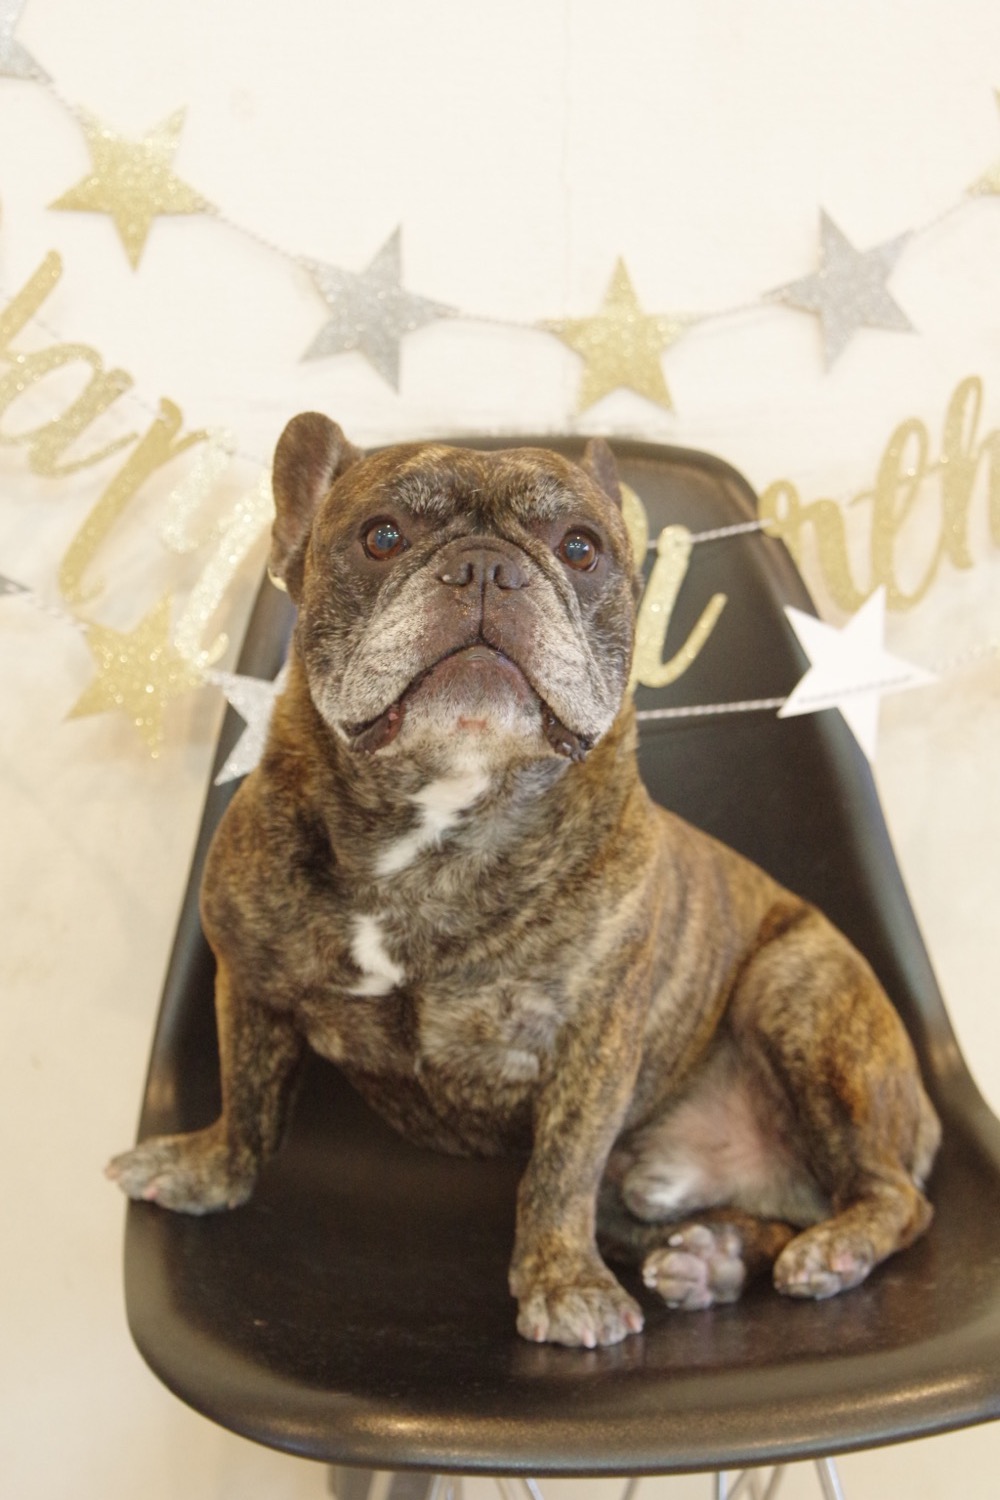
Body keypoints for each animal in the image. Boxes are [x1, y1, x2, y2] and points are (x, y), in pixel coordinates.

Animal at [108, 416, 941, 1348]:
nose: (484, 566)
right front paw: (209, 1168)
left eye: (580, 549)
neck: (443, 811)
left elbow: (558, 1173)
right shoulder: (248, 981)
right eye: (381, 536)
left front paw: (562, 1283)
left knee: (891, 1198)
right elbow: (247, 1096)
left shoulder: (594, 1041)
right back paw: (715, 1257)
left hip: (801, 996)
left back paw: (832, 1248)